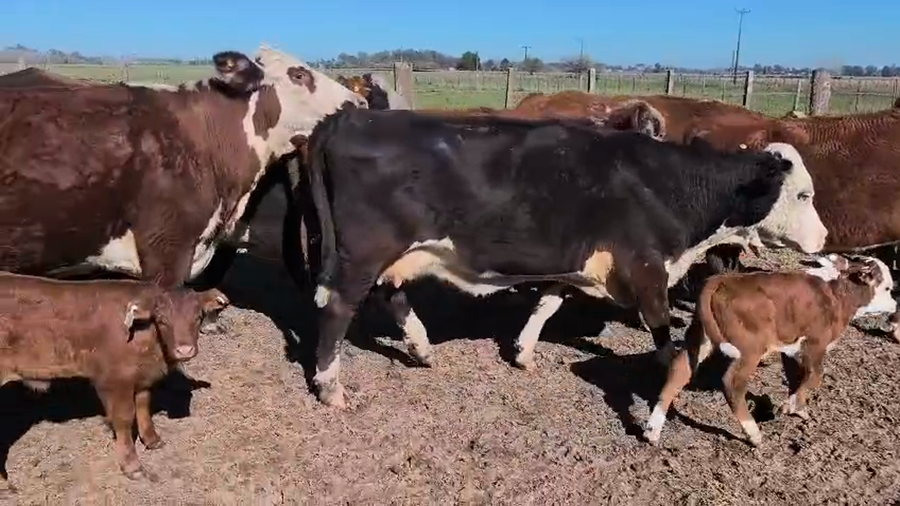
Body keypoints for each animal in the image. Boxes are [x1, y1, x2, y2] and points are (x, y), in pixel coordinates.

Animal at [0, 273, 229, 485]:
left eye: (198, 317)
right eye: (162, 320)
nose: (185, 350)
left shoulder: (142, 377)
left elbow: (143, 406)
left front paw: (152, 440)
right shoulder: (113, 380)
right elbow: (124, 418)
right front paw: (132, 465)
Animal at [302, 108, 828, 408]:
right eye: (804, 195)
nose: (823, 237)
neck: (665, 183)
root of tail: (349, 118)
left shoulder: (574, 259)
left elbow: (546, 304)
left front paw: (523, 351)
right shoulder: (646, 265)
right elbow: (661, 327)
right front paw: (664, 374)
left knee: (388, 295)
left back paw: (421, 346)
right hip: (362, 254)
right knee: (339, 309)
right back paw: (330, 386)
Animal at [643, 253, 896, 446]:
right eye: (887, 288)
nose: (895, 305)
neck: (837, 293)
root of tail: (720, 281)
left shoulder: (792, 348)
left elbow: (797, 377)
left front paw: (798, 407)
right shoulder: (815, 344)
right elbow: (815, 375)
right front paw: (790, 406)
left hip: (699, 338)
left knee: (679, 371)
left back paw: (652, 430)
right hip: (751, 349)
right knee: (732, 384)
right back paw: (754, 434)